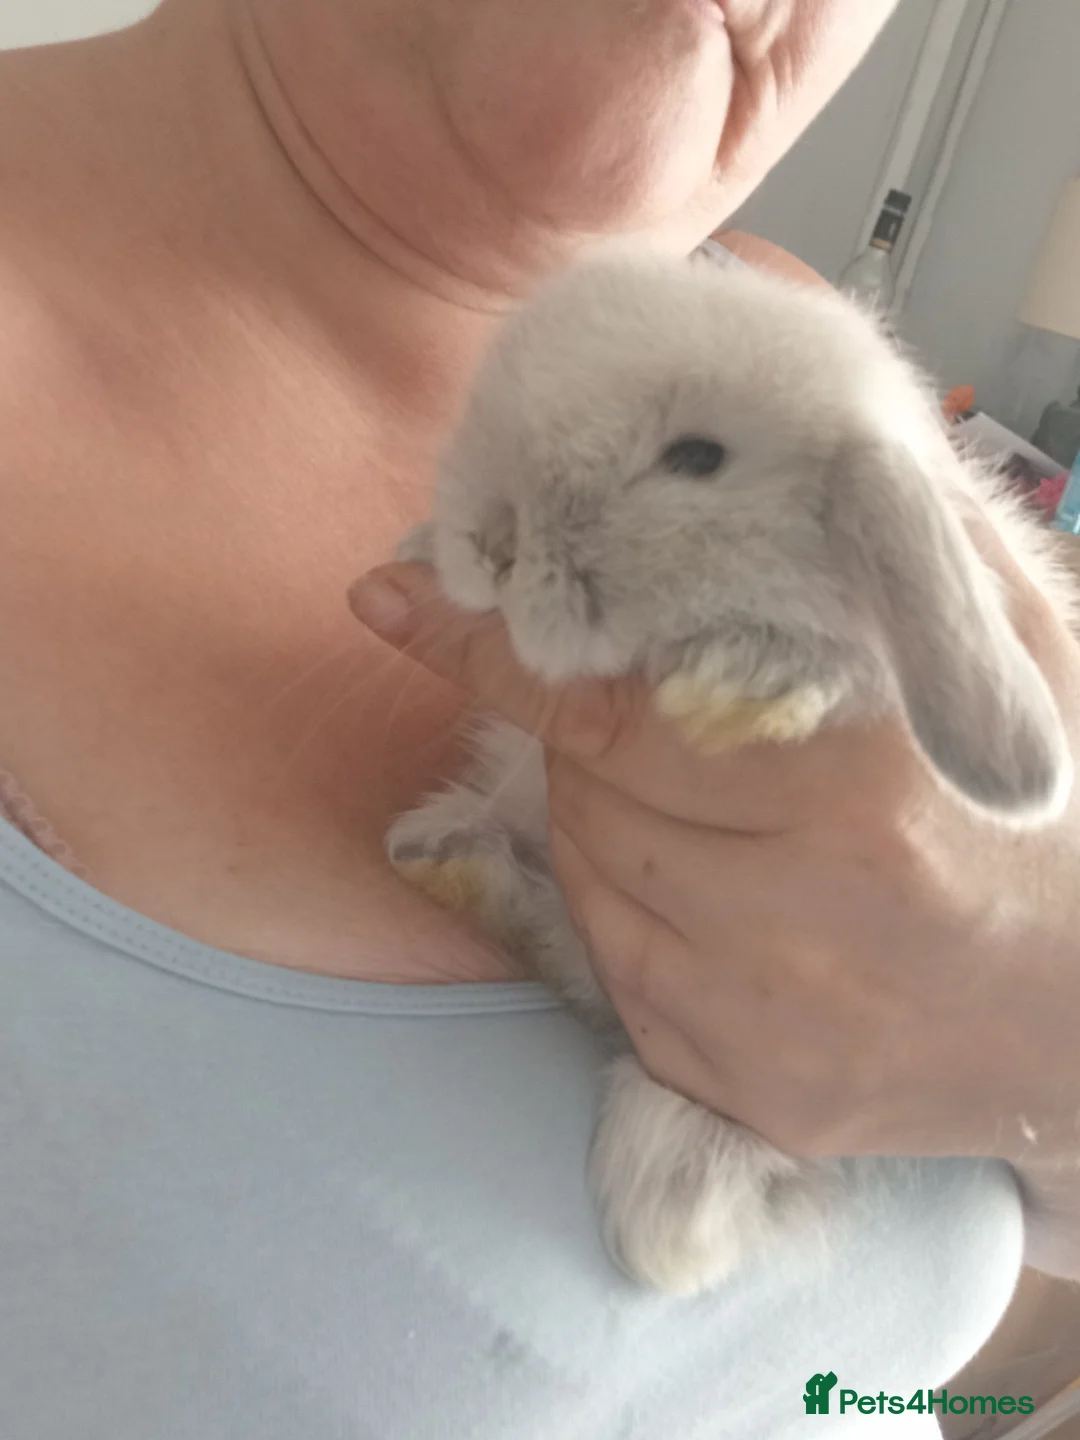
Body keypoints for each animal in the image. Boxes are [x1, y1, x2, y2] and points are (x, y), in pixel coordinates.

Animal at [384, 248, 1075, 1296]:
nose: (492, 543)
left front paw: (741, 685)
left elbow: (824, 665)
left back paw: (670, 1214)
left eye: (698, 459)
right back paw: (441, 856)